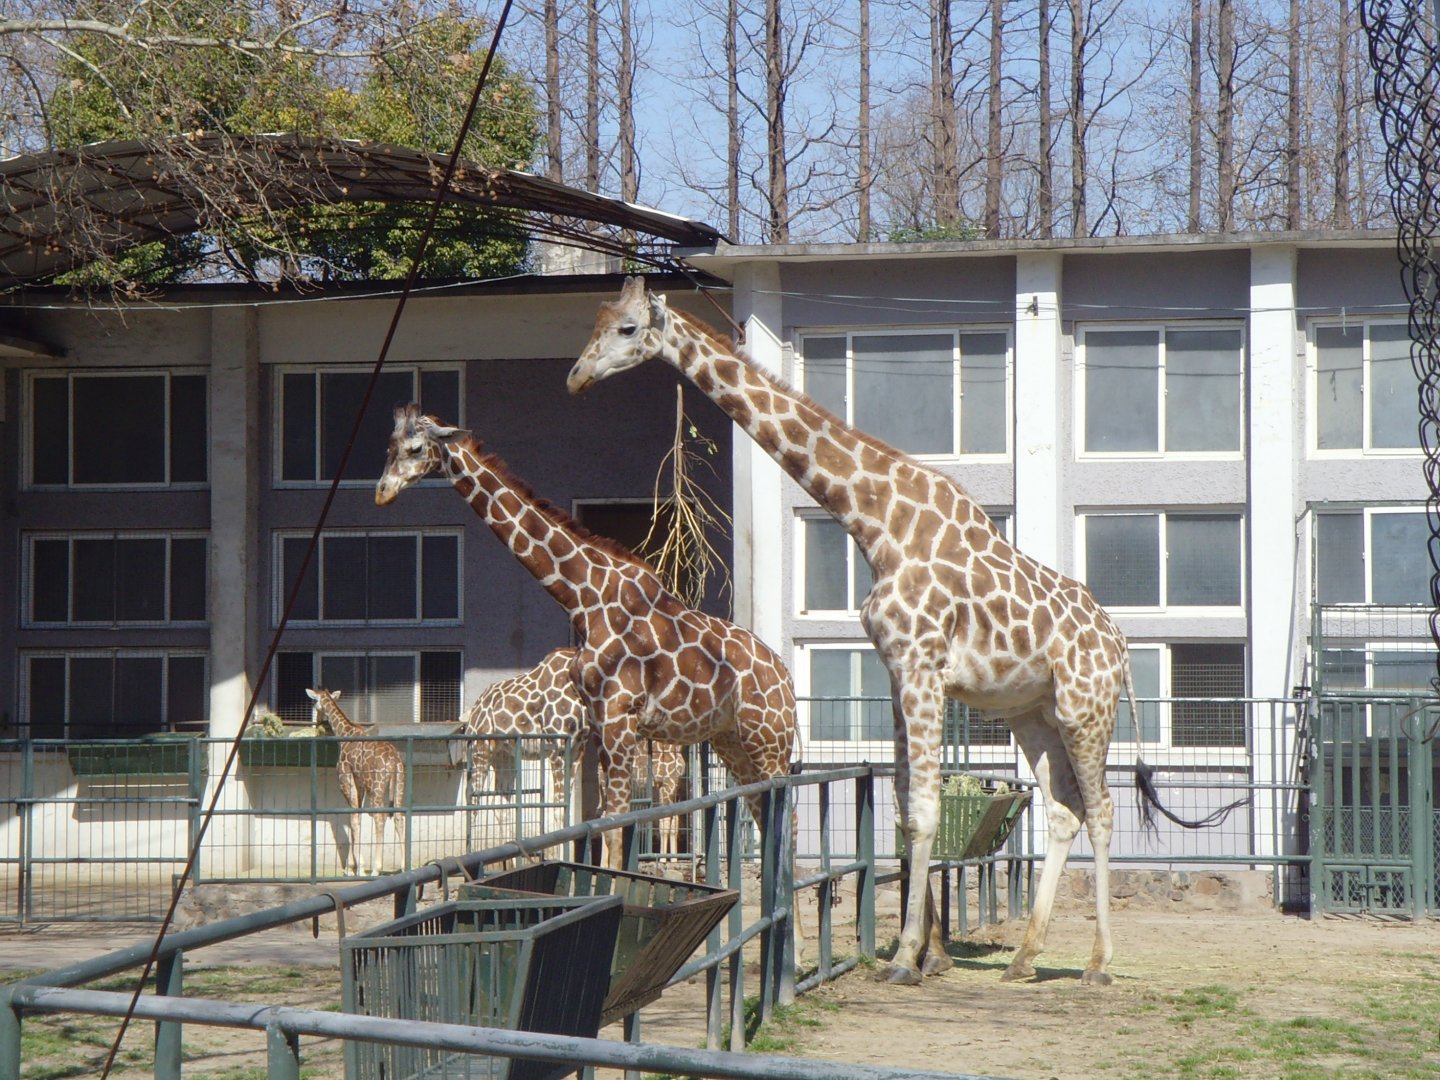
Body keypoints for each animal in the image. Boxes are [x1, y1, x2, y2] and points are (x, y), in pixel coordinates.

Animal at [306, 688, 406, 877]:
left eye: (314, 702)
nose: (318, 722)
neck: (344, 733)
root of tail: (395, 760)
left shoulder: (346, 779)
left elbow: (353, 818)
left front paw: (354, 868)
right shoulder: (360, 785)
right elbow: (356, 816)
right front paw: (353, 867)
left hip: (377, 786)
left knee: (380, 817)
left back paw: (376, 869)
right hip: (399, 783)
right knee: (399, 816)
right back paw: (405, 866)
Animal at [459, 646, 595, 832]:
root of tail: (473, 711)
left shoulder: (578, 748)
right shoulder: (557, 747)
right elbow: (559, 807)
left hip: (504, 756)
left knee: (502, 805)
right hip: (480, 749)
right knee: (473, 799)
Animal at [569, 276, 1159, 986]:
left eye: (627, 329)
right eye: (595, 321)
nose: (576, 376)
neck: (875, 524)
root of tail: (1119, 642)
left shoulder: (921, 667)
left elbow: (926, 810)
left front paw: (905, 958)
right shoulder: (897, 669)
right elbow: (904, 808)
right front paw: (929, 951)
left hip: (1084, 707)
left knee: (1101, 811)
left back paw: (1099, 962)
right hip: (1033, 713)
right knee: (1065, 808)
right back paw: (1024, 957)